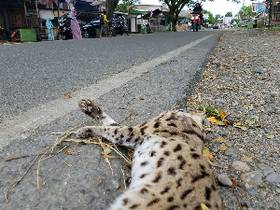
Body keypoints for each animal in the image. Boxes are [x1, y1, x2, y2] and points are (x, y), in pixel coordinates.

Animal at [75, 99, 223, 210]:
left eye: (182, 110)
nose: (179, 108)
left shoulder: (136, 132)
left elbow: (110, 128)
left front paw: (85, 130)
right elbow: (111, 123)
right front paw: (90, 107)